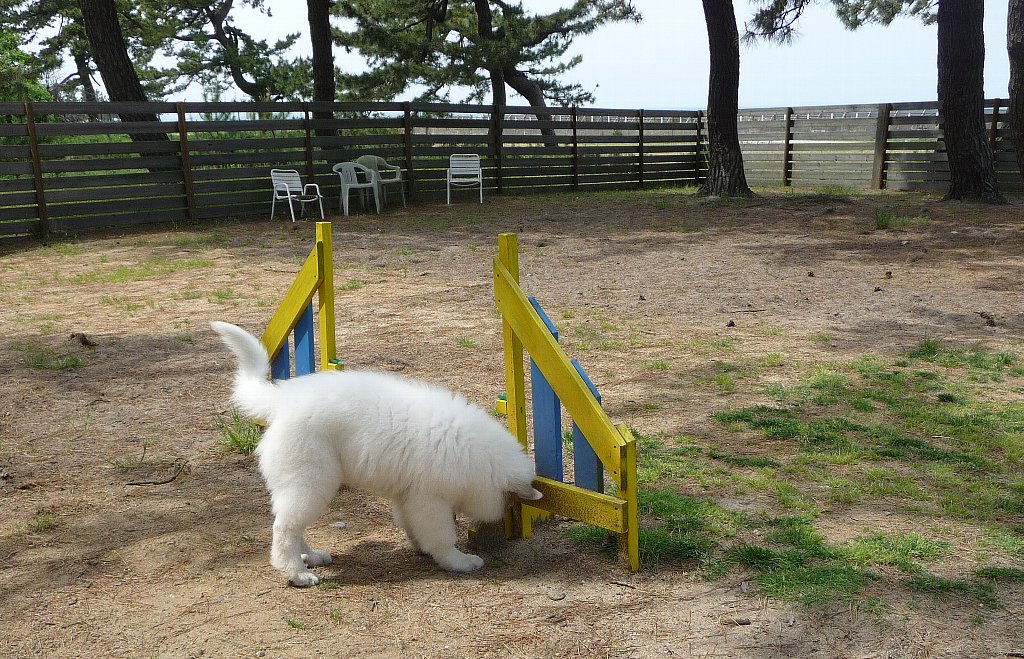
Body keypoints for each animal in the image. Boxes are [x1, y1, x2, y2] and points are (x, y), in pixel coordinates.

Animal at [210, 321, 541, 586]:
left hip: (301, 486)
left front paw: (421, 548)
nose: (500, 521)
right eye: (508, 500)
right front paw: (459, 561)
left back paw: (311, 557)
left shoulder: (408, 497)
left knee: (292, 525)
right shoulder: (429, 501)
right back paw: (297, 573)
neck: (475, 452)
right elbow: (443, 536)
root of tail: (281, 399)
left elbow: (414, 527)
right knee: (284, 528)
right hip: (311, 481)